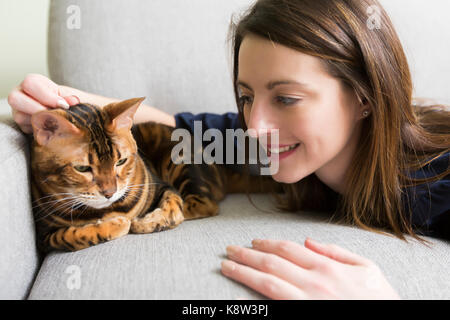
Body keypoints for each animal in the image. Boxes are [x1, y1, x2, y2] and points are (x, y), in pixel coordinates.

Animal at [30, 97, 274, 252]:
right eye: (82, 168)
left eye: (121, 161)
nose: (109, 192)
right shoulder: (44, 234)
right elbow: (72, 235)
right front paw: (115, 224)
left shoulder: (163, 186)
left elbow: (173, 206)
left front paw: (143, 222)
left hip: (179, 158)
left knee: (204, 204)